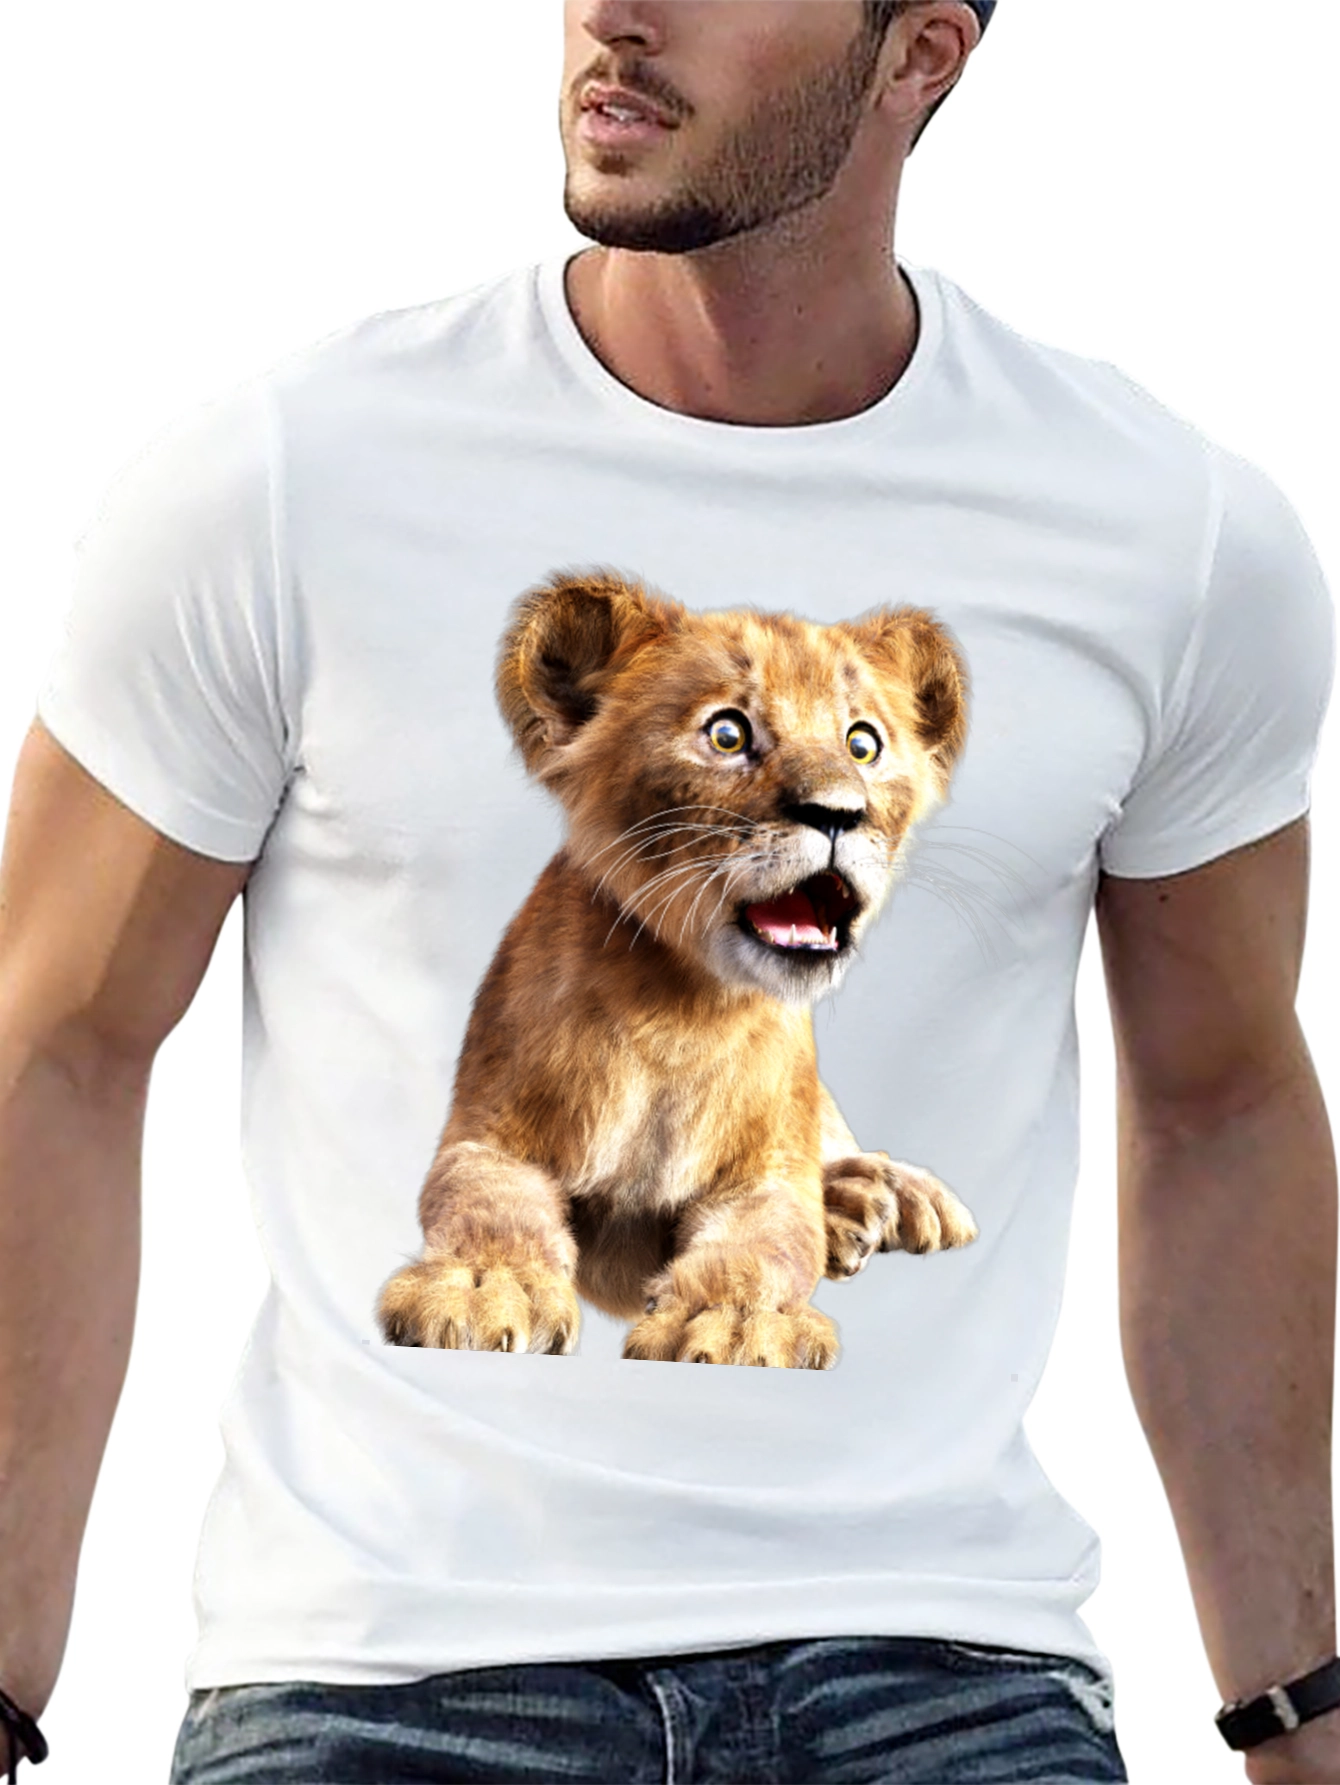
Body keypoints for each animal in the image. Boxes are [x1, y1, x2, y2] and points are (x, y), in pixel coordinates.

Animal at [374, 566, 978, 1369]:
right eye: (727, 733)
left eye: (862, 744)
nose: (839, 813)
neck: (681, 1009)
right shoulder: (489, 1133)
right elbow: (488, 1204)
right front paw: (481, 1288)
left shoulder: (765, 1173)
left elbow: (763, 1243)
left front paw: (736, 1323)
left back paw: (889, 1196)